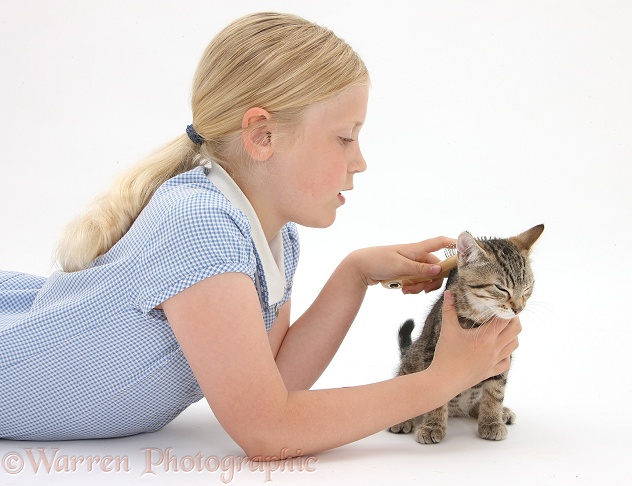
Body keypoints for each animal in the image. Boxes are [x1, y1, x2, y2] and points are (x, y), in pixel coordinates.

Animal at [390, 225, 544, 444]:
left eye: (527, 288)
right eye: (501, 288)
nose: (519, 309)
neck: (479, 316)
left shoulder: (502, 356)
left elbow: (495, 391)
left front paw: (491, 421)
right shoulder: (432, 351)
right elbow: (437, 390)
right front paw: (432, 426)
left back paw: (499, 412)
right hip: (412, 359)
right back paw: (404, 419)